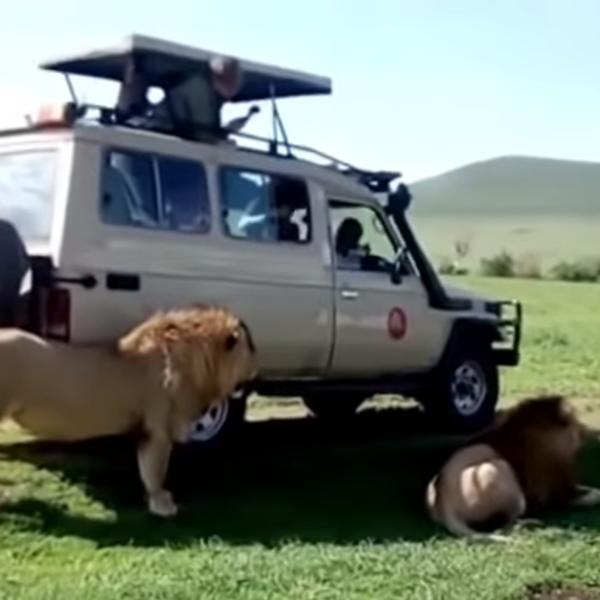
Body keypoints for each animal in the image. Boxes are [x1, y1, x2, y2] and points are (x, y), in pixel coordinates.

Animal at [0, 304, 258, 517]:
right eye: (252, 347)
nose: (256, 370)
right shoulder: (158, 430)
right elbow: (156, 471)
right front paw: (163, 506)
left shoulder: (146, 430)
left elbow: (146, 469)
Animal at [425, 395, 600, 541]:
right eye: (577, 422)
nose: (587, 433)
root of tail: (444, 506)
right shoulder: (558, 492)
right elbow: (592, 496)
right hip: (499, 469)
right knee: (507, 522)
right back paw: (531, 523)